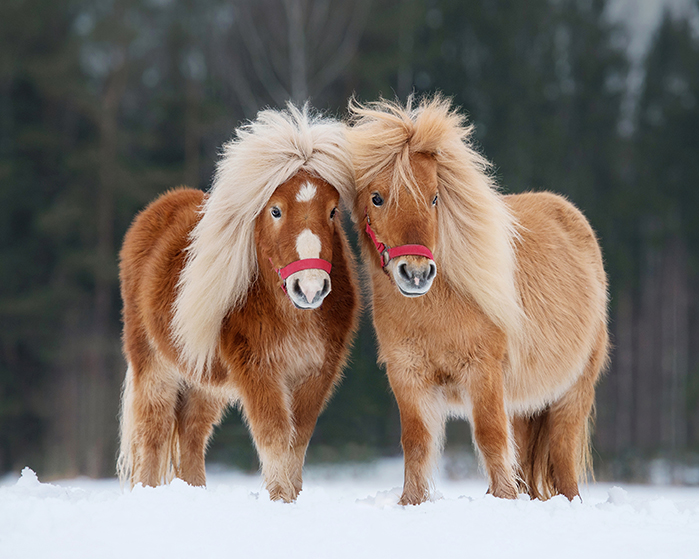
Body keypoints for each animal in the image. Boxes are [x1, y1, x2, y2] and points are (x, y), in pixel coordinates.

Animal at [117, 104, 359, 502]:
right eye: (275, 211)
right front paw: (281, 501)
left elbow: (297, 443)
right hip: (154, 366)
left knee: (192, 433)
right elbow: (275, 437)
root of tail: (155, 211)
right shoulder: (258, 371)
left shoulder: (315, 374)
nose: (309, 289)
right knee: (153, 432)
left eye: (332, 211)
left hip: (202, 380)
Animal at [346, 95, 609, 505]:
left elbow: (489, 438)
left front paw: (502, 499)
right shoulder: (408, 376)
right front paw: (411, 503)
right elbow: (416, 444)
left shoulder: (482, 372)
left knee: (563, 459)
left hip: (571, 394)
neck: (437, 310)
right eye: (377, 197)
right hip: (521, 402)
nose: (416, 274)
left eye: (435, 197)